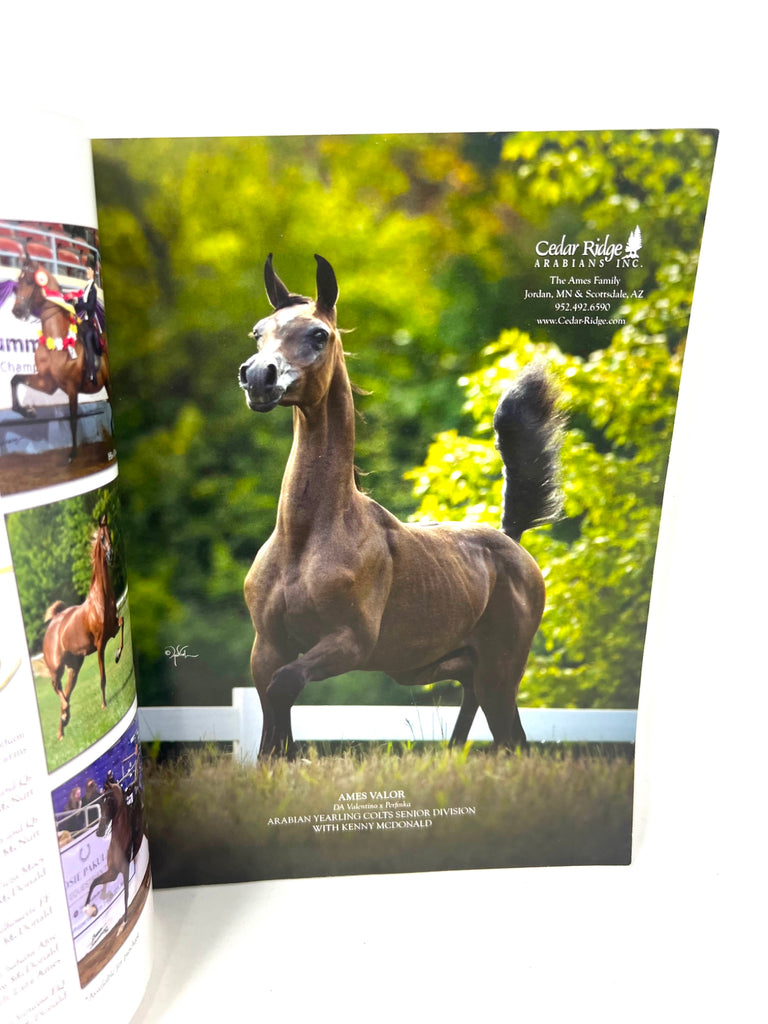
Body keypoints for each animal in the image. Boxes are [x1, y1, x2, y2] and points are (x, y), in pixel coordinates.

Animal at [10, 256, 112, 462]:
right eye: (16, 285)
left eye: (30, 281)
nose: (17, 311)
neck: (56, 340)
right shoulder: (47, 382)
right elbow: (15, 379)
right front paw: (28, 412)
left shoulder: (72, 388)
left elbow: (72, 419)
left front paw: (72, 454)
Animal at [42, 515, 125, 741]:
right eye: (101, 537)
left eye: (110, 533)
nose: (111, 556)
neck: (100, 600)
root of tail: (53, 622)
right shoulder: (100, 643)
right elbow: (102, 677)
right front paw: (104, 705)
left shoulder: (112, 630)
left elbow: (123, 622)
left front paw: (117, 655)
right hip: (57, 667)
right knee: (56, 686)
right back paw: (64, 715)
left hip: (74, 666)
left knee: (67, 690)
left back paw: (63, 726)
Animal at [84, 773, 144, 930]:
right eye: (100, 801)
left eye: (109, 801)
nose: (99, 831)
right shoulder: (112, 872)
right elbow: (94, 882)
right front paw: (87, 907)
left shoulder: (124, 871)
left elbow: (126, 894)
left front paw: (124, 921)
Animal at [238, 255, 563, 759]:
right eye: (259, 332)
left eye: (318, 335)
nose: (258, 377)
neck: (306, 538)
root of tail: (510, 540)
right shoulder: (268, 647)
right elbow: (274, 716)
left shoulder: (350, 643)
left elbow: (284, 689)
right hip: (457, 668)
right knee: (484, 718)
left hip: (501, 670)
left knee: (511, 738)